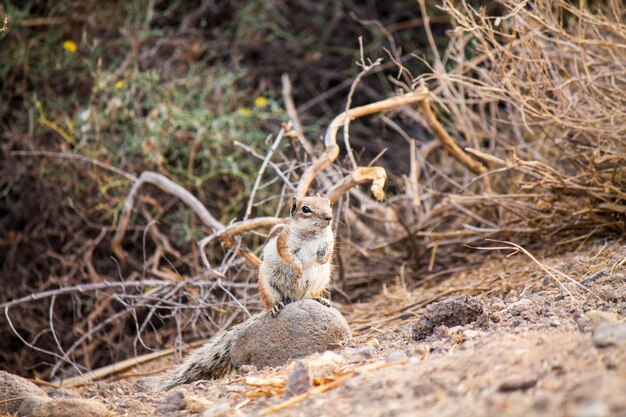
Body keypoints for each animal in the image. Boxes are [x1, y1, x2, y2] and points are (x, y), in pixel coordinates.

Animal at [157, 195, 332, 390]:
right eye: (306, 209)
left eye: (329, 204)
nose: (329, 218)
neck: (312, 235)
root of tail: (293, 300)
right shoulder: (284, 241)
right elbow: (287, 255)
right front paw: (298, 269)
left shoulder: (328, 240)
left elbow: (329, 251)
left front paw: (322, 259)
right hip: (267, 283)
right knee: (273, 302)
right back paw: (275, 307)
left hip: (320, 279)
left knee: (308, 295)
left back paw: (319, 299)